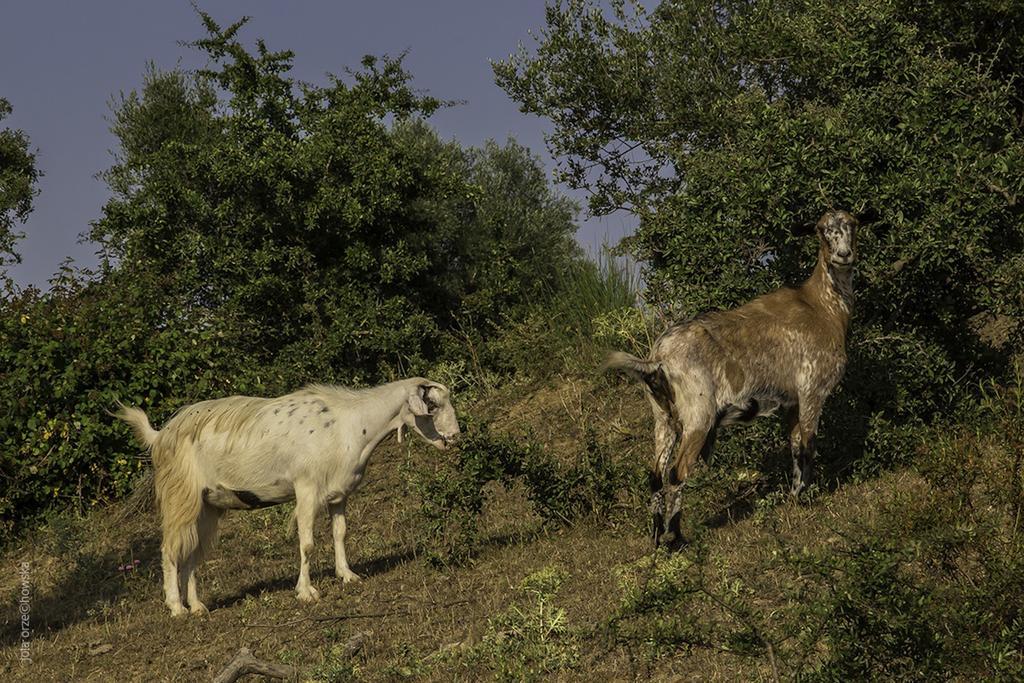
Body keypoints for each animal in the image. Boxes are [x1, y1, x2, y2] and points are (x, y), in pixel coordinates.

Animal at [115, 376, 460, 618]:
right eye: (432, 406)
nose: (455, 437)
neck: (352, 424)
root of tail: (160, 435)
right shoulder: (307, 488)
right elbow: (307, 543)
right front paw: (306, 592)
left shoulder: (339, 493)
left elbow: (340, 533)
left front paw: (347, 575)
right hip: (180, 496)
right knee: (169, 550)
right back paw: (176, 608)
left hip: (207, 505)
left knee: (192, 552)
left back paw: (198, 606)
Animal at [606, 208, 856, 544]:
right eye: (821, 230)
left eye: (853, 224)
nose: (844, 255)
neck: (822, 306)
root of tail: (657, 358)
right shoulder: (812, 390)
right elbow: (808, 446)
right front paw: (808, 498)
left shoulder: (791, 401)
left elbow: (793, 446)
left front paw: (795, 497)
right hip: (698, 415)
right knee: (677, 473)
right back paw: (676, 539)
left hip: (663, 418)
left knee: (656, 474)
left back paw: (658, 538)